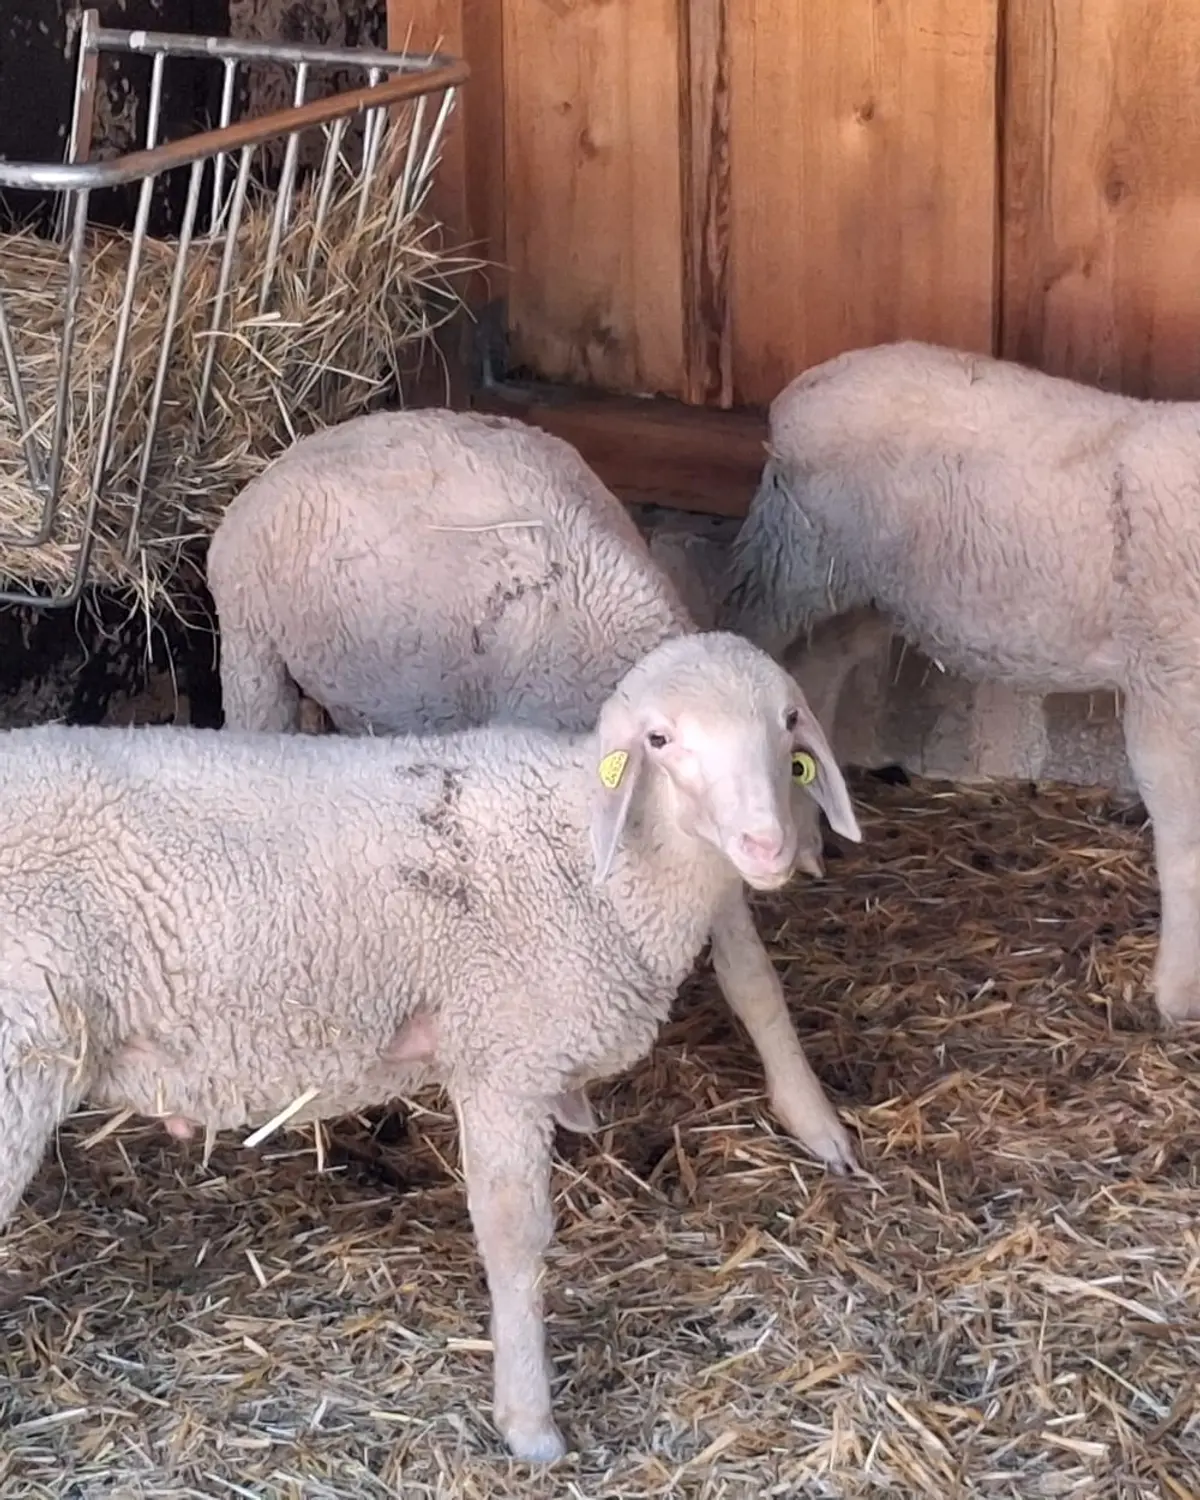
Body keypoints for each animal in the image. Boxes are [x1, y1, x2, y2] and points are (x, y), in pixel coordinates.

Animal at [0, 631, 860, 1462]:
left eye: (789, 723)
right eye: (660, 739)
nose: (767, 845)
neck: (588, 850)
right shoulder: (503, 1059)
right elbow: (515, 1236)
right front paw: (530, 1425)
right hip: (21, 1048)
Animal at [206, 407, 865, 1170]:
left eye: (789, 725)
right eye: (662, 740)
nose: (769, 845)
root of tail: (313, 441)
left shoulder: (703, 851)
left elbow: (753, 979)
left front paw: (813, 1118)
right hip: (253, 653)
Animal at [721, 338, 1200, 1025]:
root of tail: (801, 391)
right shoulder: (1165, 677)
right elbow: (1185, 842)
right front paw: (1179, 993)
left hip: (872, 594)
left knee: (815, 672)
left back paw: (808, 840)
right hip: (793, 562)